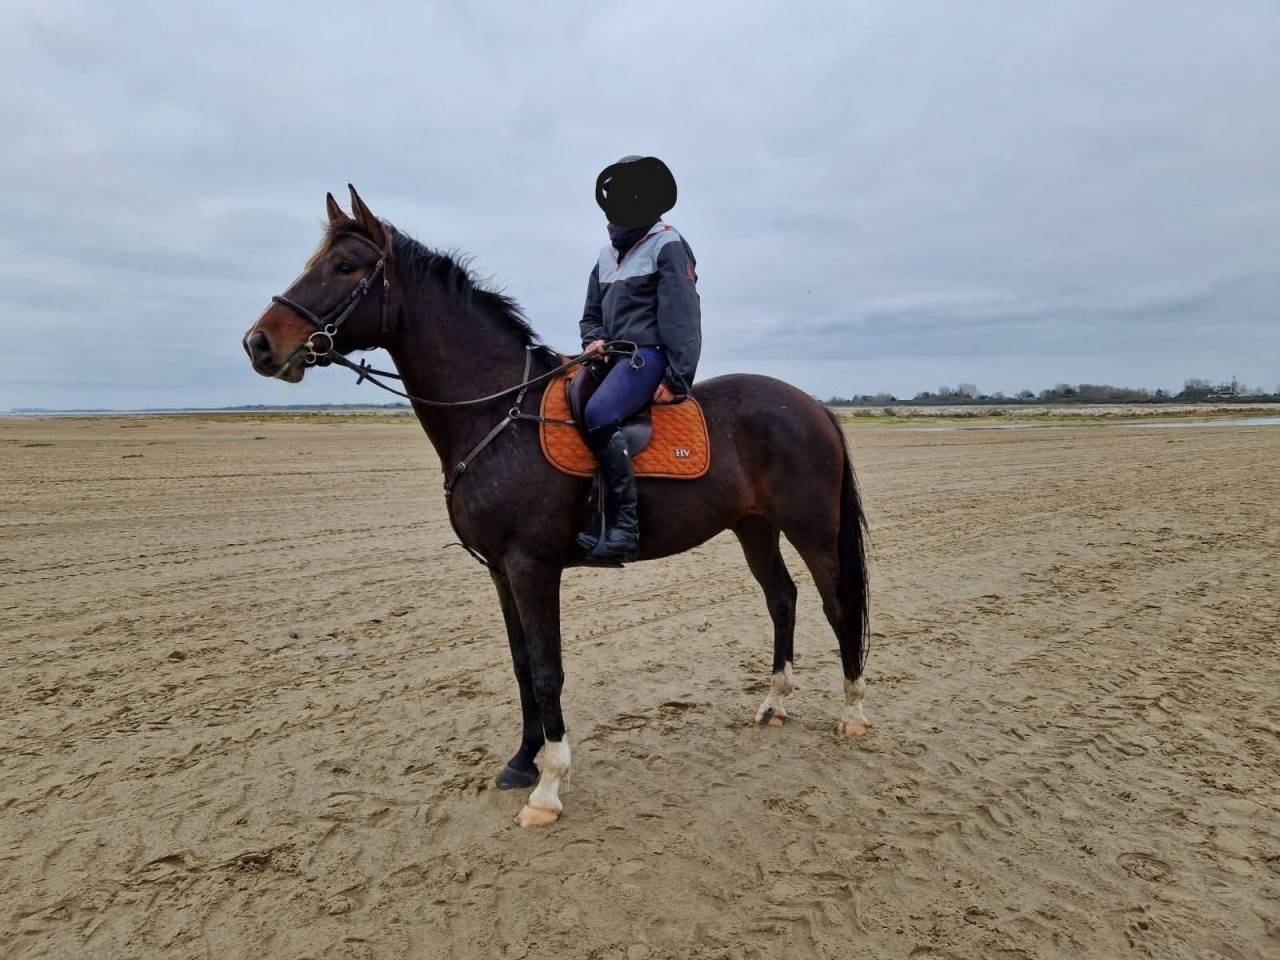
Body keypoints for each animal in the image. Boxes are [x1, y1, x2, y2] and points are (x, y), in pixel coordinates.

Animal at [242, 186, 870, 828]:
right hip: (754, 527)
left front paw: (549, 785)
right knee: (782, 598)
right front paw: (523, 762)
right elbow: (522, 664)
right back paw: (774, 704)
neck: (496, 414)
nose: (259, 343)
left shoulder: (531, 567)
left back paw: (852, 712)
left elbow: (548, 670)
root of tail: (813, 405)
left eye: (345, 266)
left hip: (812, 527)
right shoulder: (500, 571)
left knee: (837, 602)